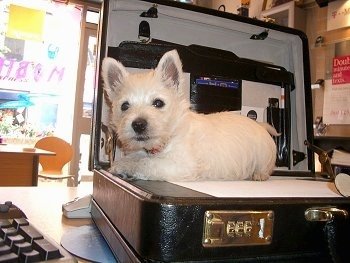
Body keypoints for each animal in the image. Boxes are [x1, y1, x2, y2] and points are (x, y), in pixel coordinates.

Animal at [100, 49, 276, 182]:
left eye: (158, 103)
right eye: (125, 106)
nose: (138, 124)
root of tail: (259, 124)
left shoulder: (179, 165)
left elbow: (147, 164)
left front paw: (122, 166)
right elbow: (138, 158)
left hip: (264, 156)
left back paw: (259, 175)